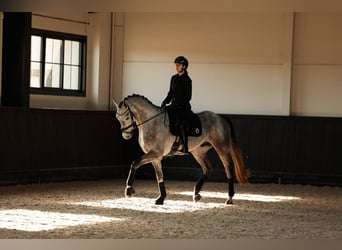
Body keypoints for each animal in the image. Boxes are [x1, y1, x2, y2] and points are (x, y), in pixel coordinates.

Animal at [113, 94, 250, 205]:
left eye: (126, 117)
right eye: (117, 117)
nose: (126, 136)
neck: (152, 123)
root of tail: (220, 117)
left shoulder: (155, 153)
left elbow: (134, 163)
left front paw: (129, 190)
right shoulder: (155, 157)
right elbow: (159, 176)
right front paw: (161, 198)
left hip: (221, 147)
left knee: (228, 168)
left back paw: (229, 198)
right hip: (198, 151)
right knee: (208, 168)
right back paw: (196, 194)